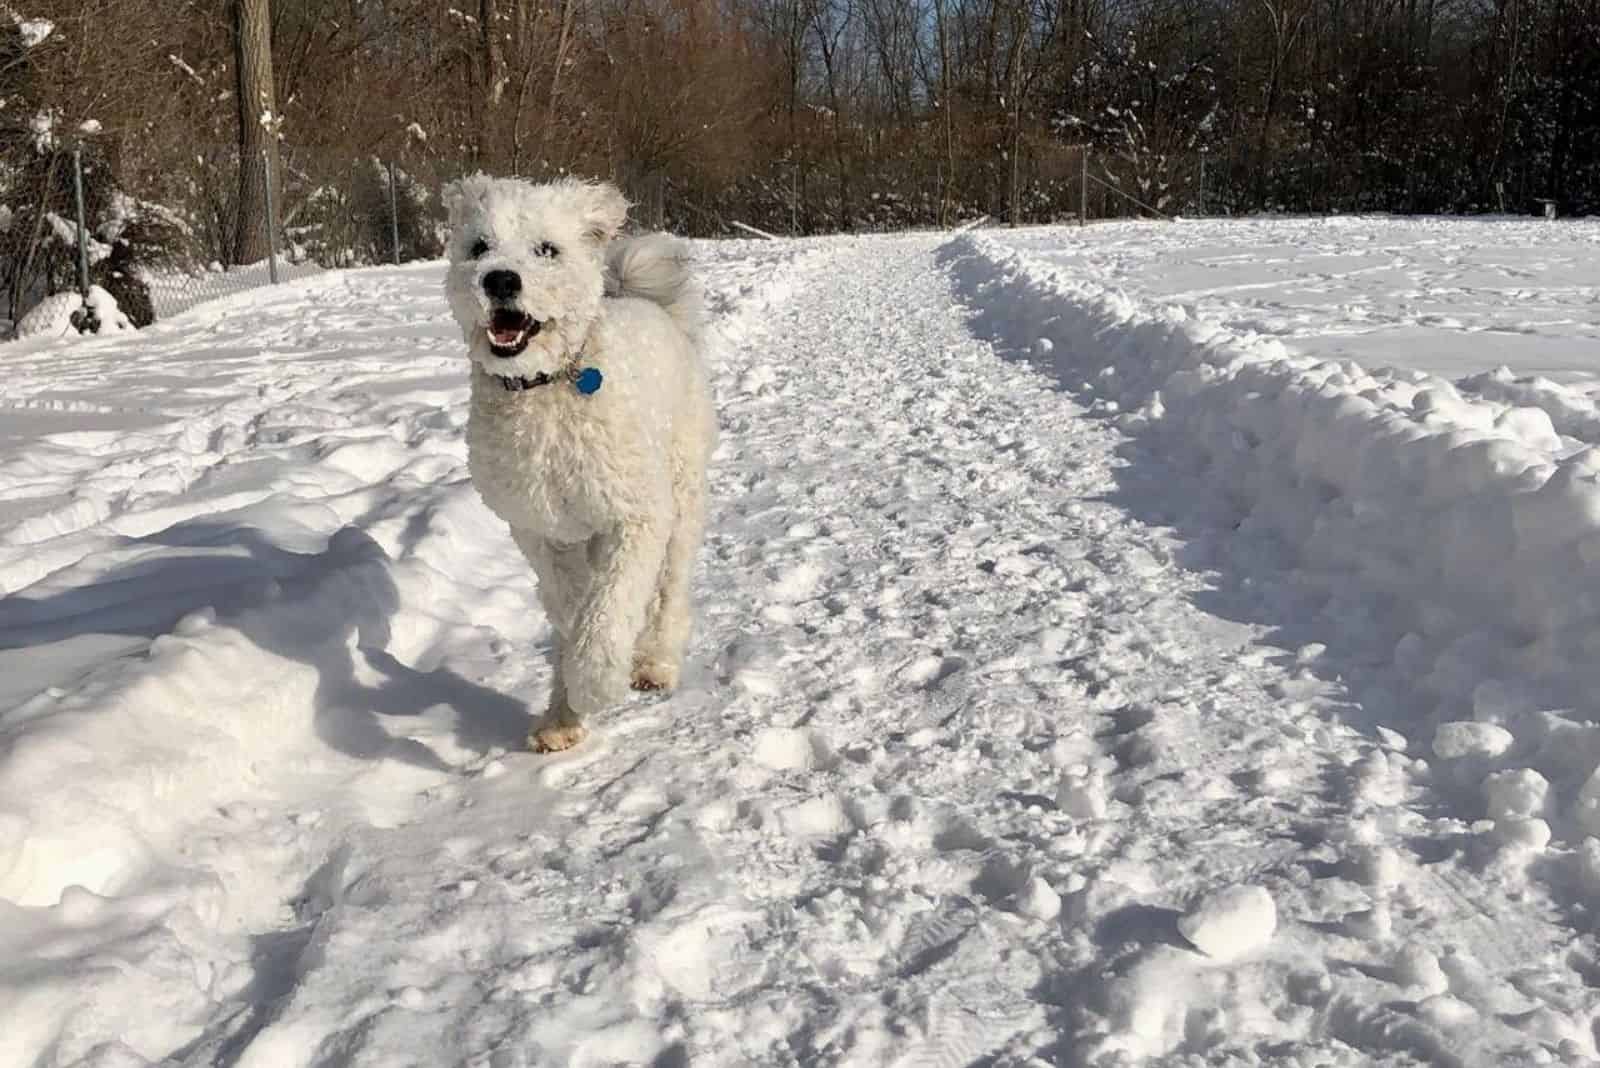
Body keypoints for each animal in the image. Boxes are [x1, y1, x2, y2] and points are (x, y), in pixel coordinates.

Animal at [438, 175, 713, 751]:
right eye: (479, 247)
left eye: (547, 250)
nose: (500, 279)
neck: (548, 388)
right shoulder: (541, 531)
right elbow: (573, 606)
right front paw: (570, 697)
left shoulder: (636, 518)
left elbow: (611, 603)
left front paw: (598, 682)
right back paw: (560, 718)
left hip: (683, 494)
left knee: (670, 590)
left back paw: (653, 661)